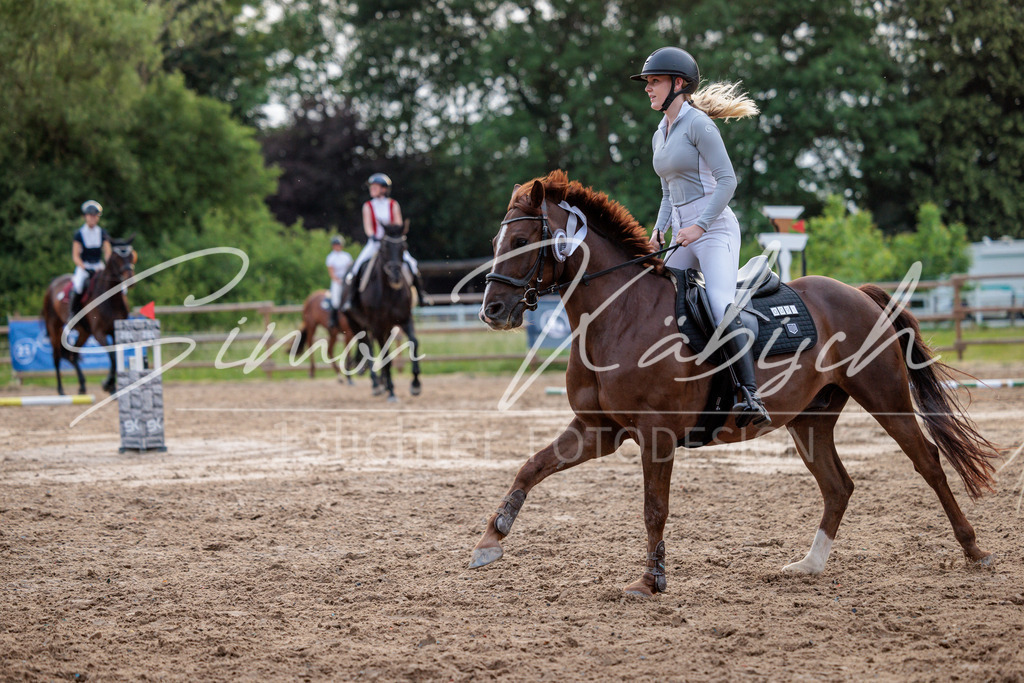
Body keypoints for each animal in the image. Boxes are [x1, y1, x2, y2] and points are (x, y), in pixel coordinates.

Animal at [41, 237, 137, 396]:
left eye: (130, 256)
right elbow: (112, 357)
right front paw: (107, 385)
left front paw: (111, 387)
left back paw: (82, 386)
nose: (129, 278)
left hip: (84, 332)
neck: (110, 300)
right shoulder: (99, 333)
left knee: (72, 355)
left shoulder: (115, 332)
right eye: (115, 258)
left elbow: (116, 357)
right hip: (54, 328)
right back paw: (61, 390)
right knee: (56, 357)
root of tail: (53, 283)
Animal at [347, 222, 421, 401]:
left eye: (404, 246)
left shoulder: (405, 319)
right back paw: (377, 385)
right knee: (367, 347)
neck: (389, 292)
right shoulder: (377, 325)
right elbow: (385, 354)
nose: (395, 276)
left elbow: (414, 342)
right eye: (384, 247)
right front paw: (392, 391)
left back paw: (383, 384)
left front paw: (415, 384)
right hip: (357, 325)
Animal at [468, 170, 1000, 596]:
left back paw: (974, 550)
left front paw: (650, 581)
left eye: (522, 242)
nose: (492, 311)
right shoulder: (598, 429)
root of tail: (857, 293)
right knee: (838, 486)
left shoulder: (656, 435)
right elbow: (531, 467)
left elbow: (654, 508)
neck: (618, 314)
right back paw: (809, 564)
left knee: (928, 463)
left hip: (884, 395)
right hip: (809, 420)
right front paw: (491, 539)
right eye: (496, 242)